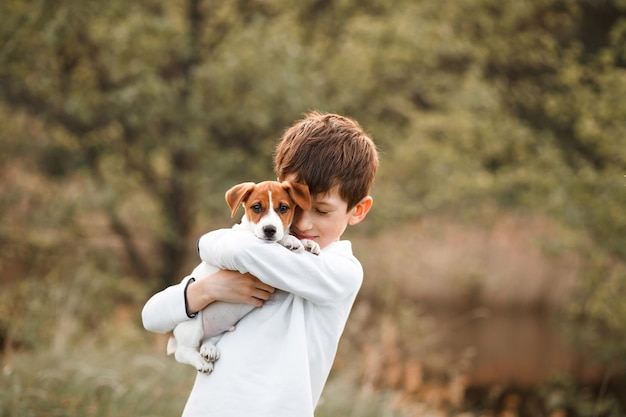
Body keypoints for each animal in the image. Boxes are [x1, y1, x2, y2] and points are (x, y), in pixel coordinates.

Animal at [166, 180, 320, 372]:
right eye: (256, 207)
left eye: (283, 208)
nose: (269, 230)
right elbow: (275, 240)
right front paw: (290, 240)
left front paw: (308, 243)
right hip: (192, 326)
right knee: (182, 352)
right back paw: (201, 361)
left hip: (218, 328)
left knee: (208, 338)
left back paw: (209, 349)